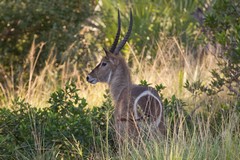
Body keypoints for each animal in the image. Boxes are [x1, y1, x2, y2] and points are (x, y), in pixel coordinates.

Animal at [86, 10, 167, 141]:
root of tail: (150, 98)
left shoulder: (119, 129)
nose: (88, 76)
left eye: (104, 63)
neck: (121, 89)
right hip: (160, 128)